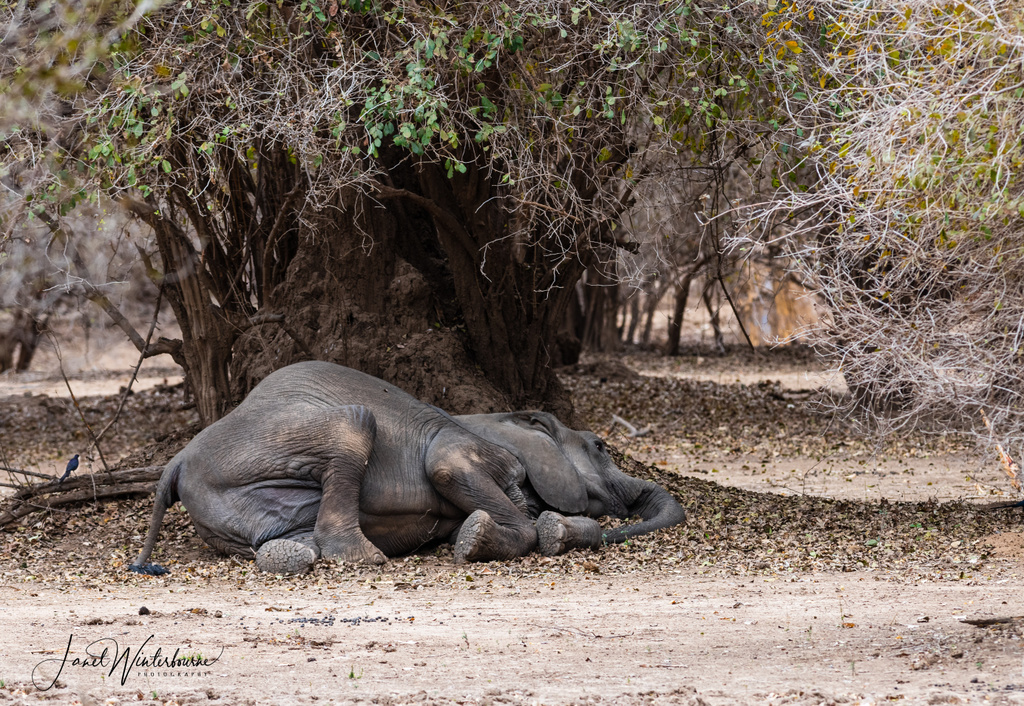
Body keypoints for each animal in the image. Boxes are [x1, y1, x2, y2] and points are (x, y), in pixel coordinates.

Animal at [130, 360, 688, 573]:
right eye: (601, 446)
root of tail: (175, 461)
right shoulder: (466, 446)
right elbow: (449, 469)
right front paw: (483, 538)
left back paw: (288, 555)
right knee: (355, 422)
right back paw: (367, 557)